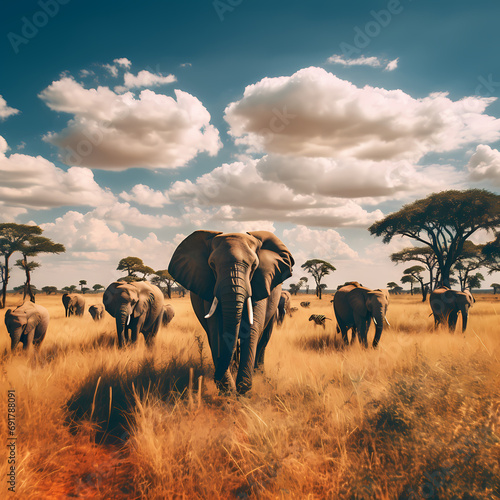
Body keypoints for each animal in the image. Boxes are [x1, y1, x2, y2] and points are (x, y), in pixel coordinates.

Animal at [168, 230, 292, 394]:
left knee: (264, 338)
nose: (214, 377)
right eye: (212, 265)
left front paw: (242, 391)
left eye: (254, 265)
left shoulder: (260, 283)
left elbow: (252, 329)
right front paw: (229, 392)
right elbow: (216, 331)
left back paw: (259, 374)